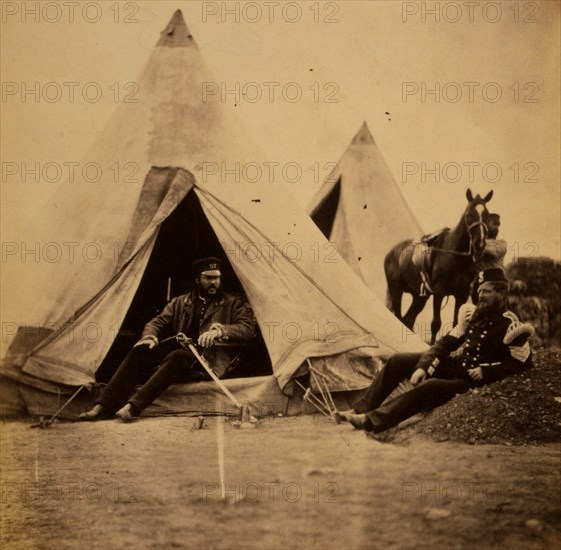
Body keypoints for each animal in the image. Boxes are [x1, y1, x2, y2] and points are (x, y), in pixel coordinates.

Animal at [382, 190, 492, 344]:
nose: (479, 244)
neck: (455, 257)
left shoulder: (461, 296)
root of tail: (393, 251)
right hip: (396, 290)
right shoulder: (439, 293)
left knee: (408, 319)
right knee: (397, 316)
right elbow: (435, 324)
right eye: (469, 214)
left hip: (419, 297)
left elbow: (455, 324)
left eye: (486, 215)